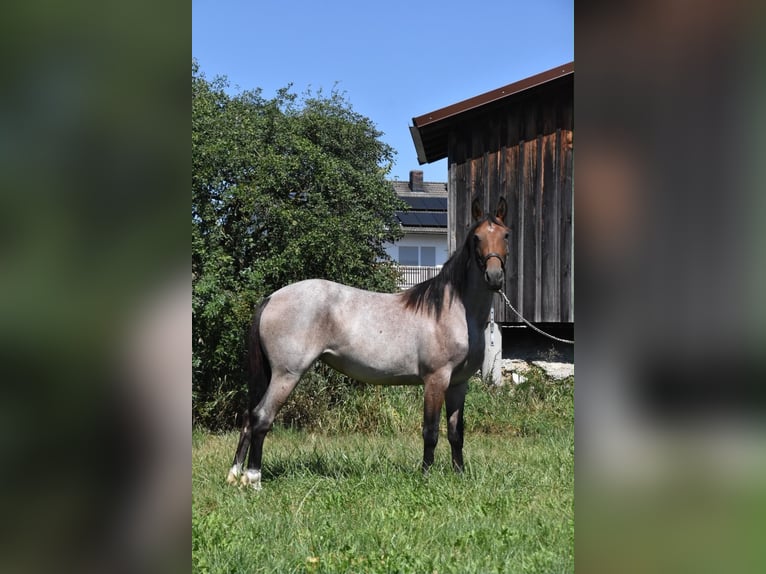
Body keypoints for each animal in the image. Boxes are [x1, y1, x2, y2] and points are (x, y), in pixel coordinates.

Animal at [227, 197, 509, 489]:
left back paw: (235, 474)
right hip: (286, 375)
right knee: (262, 417)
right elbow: (430, 431)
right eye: (476, 237)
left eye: (506, 235)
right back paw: (254, 478)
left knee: (249, 417)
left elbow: (456, 432)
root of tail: (271, 298)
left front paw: (459, 475)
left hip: (272, 375)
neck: (451, 311)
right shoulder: (436, 379)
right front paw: (425, 477)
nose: (494, 276)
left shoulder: (458, 383)